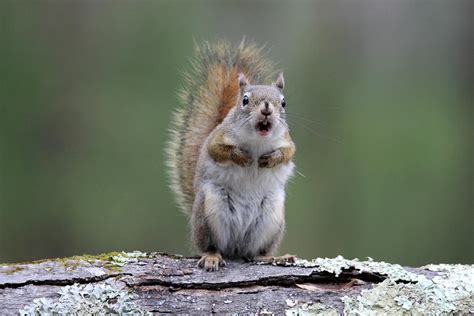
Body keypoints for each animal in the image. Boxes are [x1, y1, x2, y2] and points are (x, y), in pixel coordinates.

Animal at [165, 40, 294, 272]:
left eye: (283, 102)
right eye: (245, 100)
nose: (266, 109)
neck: (257, 141)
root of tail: (236, 249)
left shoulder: (287, 141)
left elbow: (287, 153)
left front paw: (271, 159)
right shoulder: (216, 138)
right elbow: (218, 150)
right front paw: (243, 157)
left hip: (271, 219)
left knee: (255, 253)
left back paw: (272, 257)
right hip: (210, 211)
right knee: (211, 246)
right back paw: (212, 257)